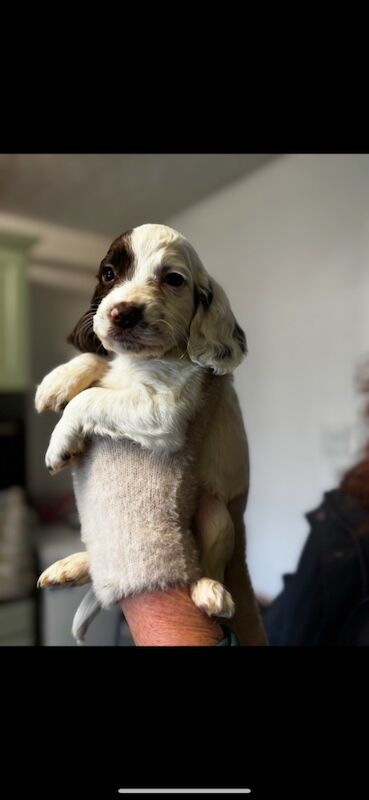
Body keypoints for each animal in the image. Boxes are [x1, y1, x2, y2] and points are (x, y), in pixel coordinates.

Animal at [36, 223, 250, 624]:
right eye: (108, 274)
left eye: (173, 279)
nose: (123, 313)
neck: (141, 360)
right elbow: (97, 361)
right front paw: (58, 381)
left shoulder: (164, 408)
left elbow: (91, 399)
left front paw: (59, 443)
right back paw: (72, 566)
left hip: (218, 513)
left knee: (208, 564)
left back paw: (211, 591)